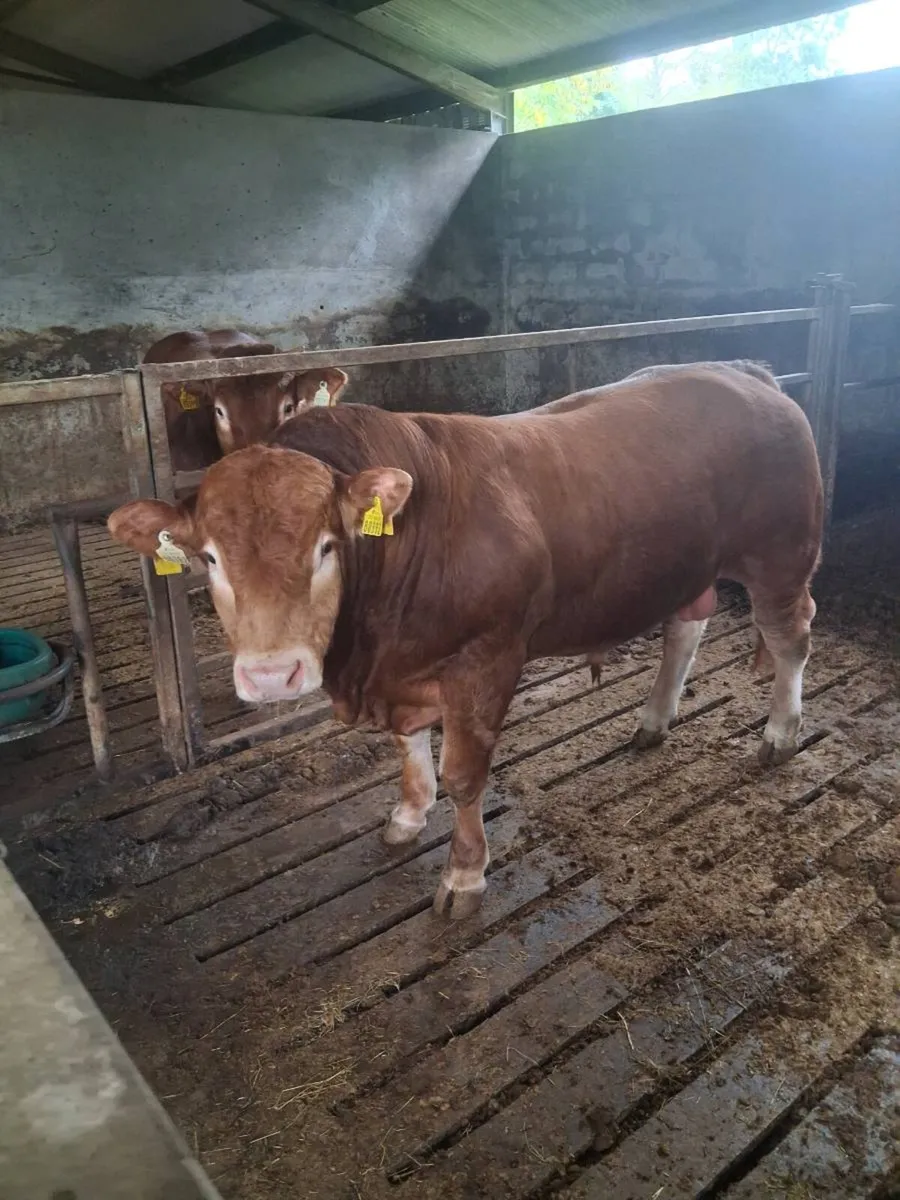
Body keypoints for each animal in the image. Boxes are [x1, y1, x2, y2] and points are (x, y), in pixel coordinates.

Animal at [107, 363, 823, 919]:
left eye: (326, 547)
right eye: (210, 557)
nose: (269, 674)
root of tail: (745, 372)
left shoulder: (486, 662)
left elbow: (464, 776)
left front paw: (463, 874)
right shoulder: (400, 670)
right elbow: (408, 749)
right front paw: (407, 815)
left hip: (782, 556)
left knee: (792, 637)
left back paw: (781, 733)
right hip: (684, 564)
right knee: (686, 627)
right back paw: (654, 720)